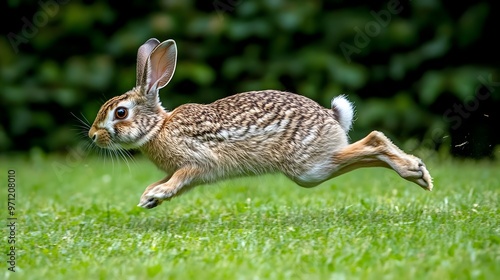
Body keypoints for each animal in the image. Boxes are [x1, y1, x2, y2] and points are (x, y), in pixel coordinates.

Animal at [88, 38, 432, 209]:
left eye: (120, 113)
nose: (93, 136)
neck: (158, 128)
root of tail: (332, 116)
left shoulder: (197, 162)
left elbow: (178, 179)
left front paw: (154, 196)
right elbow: (168, 182)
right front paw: (149, 198)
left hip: (309, 167)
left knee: (373, 141)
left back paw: (415, 171)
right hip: (315, 166)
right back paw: (418, 175)